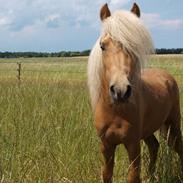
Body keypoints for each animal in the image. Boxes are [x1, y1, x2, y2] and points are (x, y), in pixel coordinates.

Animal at [87, 2, 183, 183]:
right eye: (102, 46)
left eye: (134, 46)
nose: (120, 91)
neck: (116, 111)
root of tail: (167, 76)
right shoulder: (106, 145)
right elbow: (107, 175)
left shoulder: (133, 144)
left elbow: (133, 176)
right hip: (149, 131)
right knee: (154, 146)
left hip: (173, 126)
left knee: (178, 147)